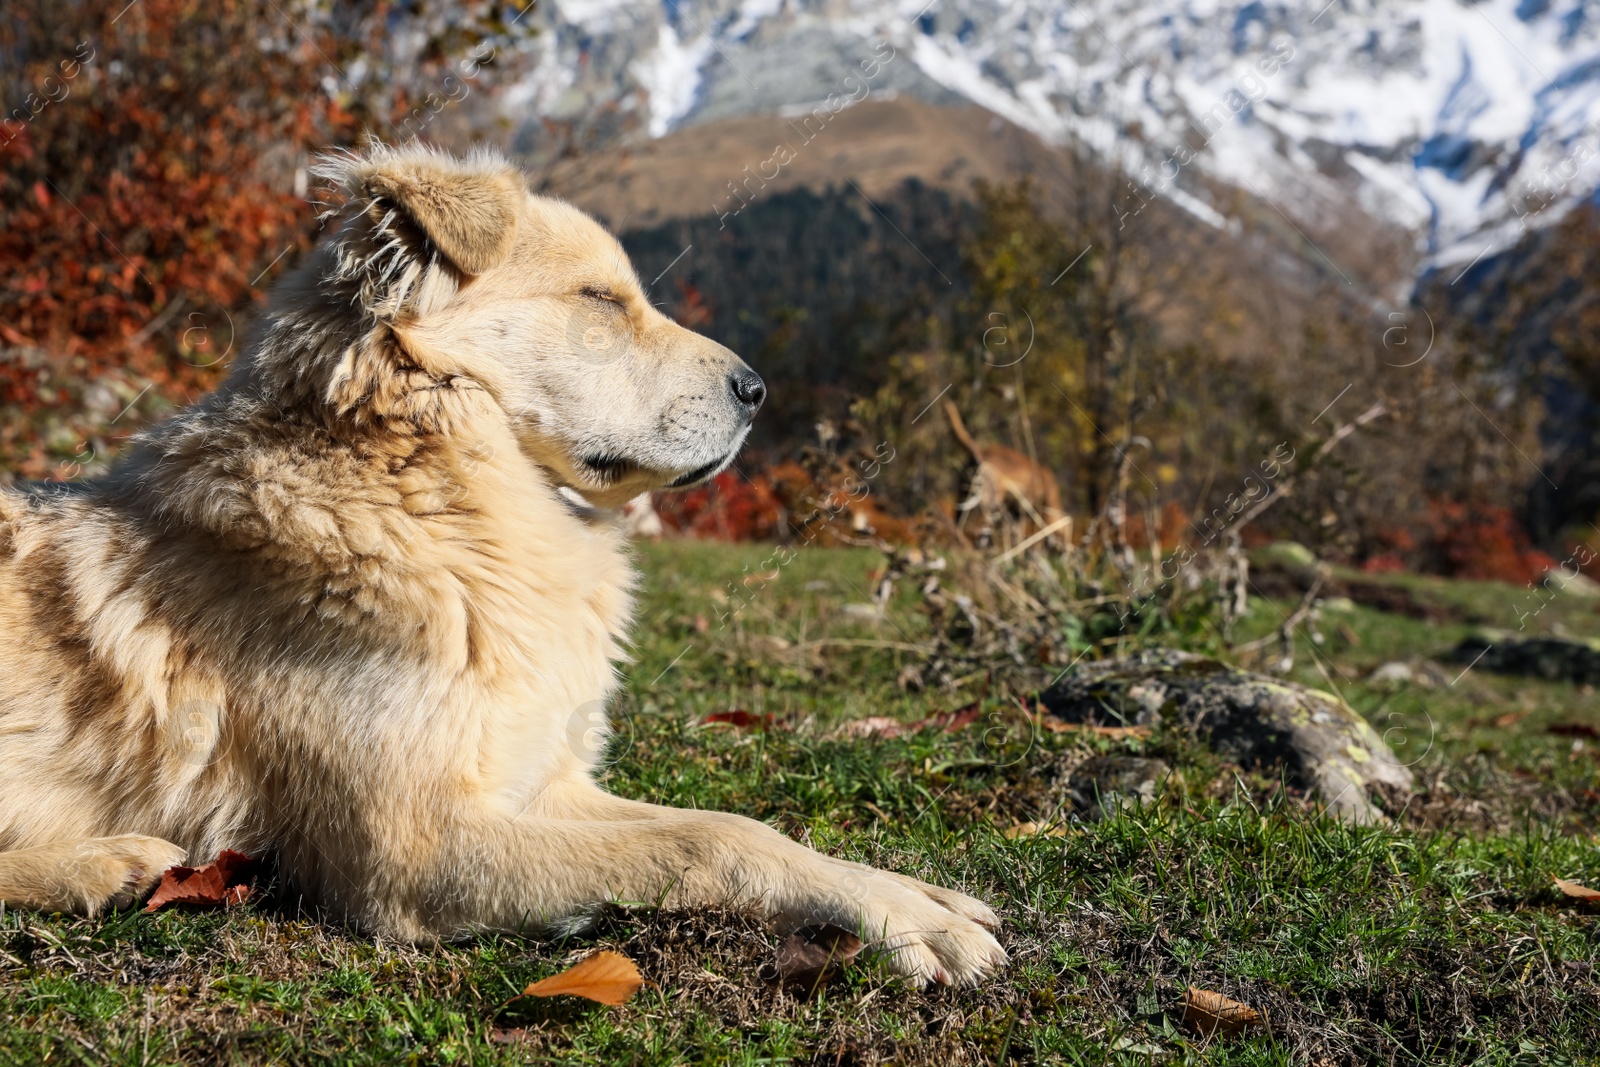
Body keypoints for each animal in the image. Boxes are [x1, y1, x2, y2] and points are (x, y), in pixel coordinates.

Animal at [0, 146, 998, 991]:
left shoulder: (541, 782)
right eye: (601, 299)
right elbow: (707, 846)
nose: (759, 391)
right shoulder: (411, 851)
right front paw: (902, 920)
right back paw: (105, 863)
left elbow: (738, 823)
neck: (433, 497)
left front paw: (914, 894)